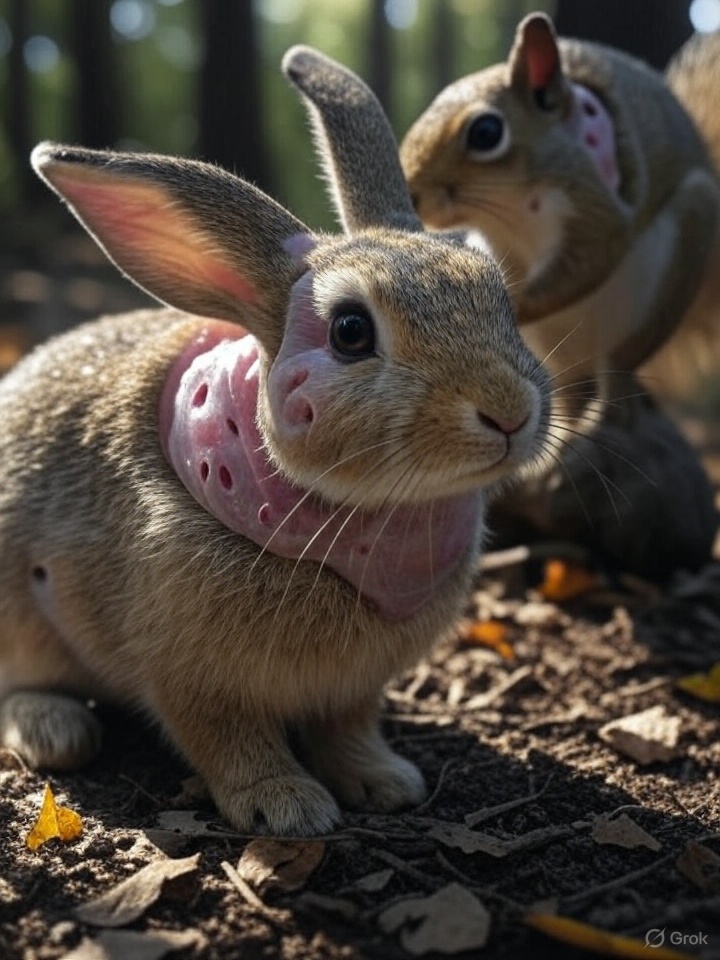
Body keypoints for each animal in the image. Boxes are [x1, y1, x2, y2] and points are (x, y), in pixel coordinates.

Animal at [0, 46, 550, 835]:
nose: (509, 411)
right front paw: (287, 806)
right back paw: (56, 731)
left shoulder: (352, 691)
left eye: (495, 294)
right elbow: (226, 737)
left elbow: (347, 729)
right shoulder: (190, 674)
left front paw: (384, 781)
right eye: (349, 332)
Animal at [399, 12, 720, 580]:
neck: (511, 214)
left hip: (664, 284)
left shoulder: (593, 203)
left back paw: (602, 416)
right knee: (568, 392)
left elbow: (590, 257)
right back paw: (560, 439)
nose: (413, 191)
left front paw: (515, 301)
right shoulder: (497, 244)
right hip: (553, 354)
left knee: (618, 374)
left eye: (486, 132)